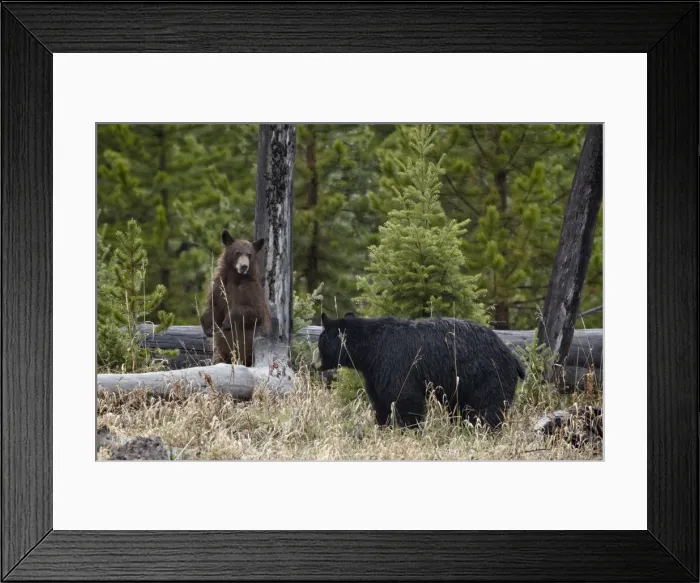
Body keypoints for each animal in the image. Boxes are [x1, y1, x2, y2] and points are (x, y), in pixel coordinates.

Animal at [199, 230, 271, 367]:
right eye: (237, 252)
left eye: (249, 254)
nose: (244, 266)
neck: (235, 278)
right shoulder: (219, 287)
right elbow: (213, 306)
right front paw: (208, 326)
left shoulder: (250, 290)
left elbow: (255, 311)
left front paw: (228, 320)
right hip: (221, 352)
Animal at [317, 312, 526, 429]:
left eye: (320, 343)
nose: (317, 364)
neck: (370, 350)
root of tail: (514, 358)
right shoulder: (374, 373)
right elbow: (380, 401)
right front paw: (383, 426)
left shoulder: (395, 363)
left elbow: (406, 398)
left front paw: (408, 429)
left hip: (487, 376)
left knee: (488, 408)